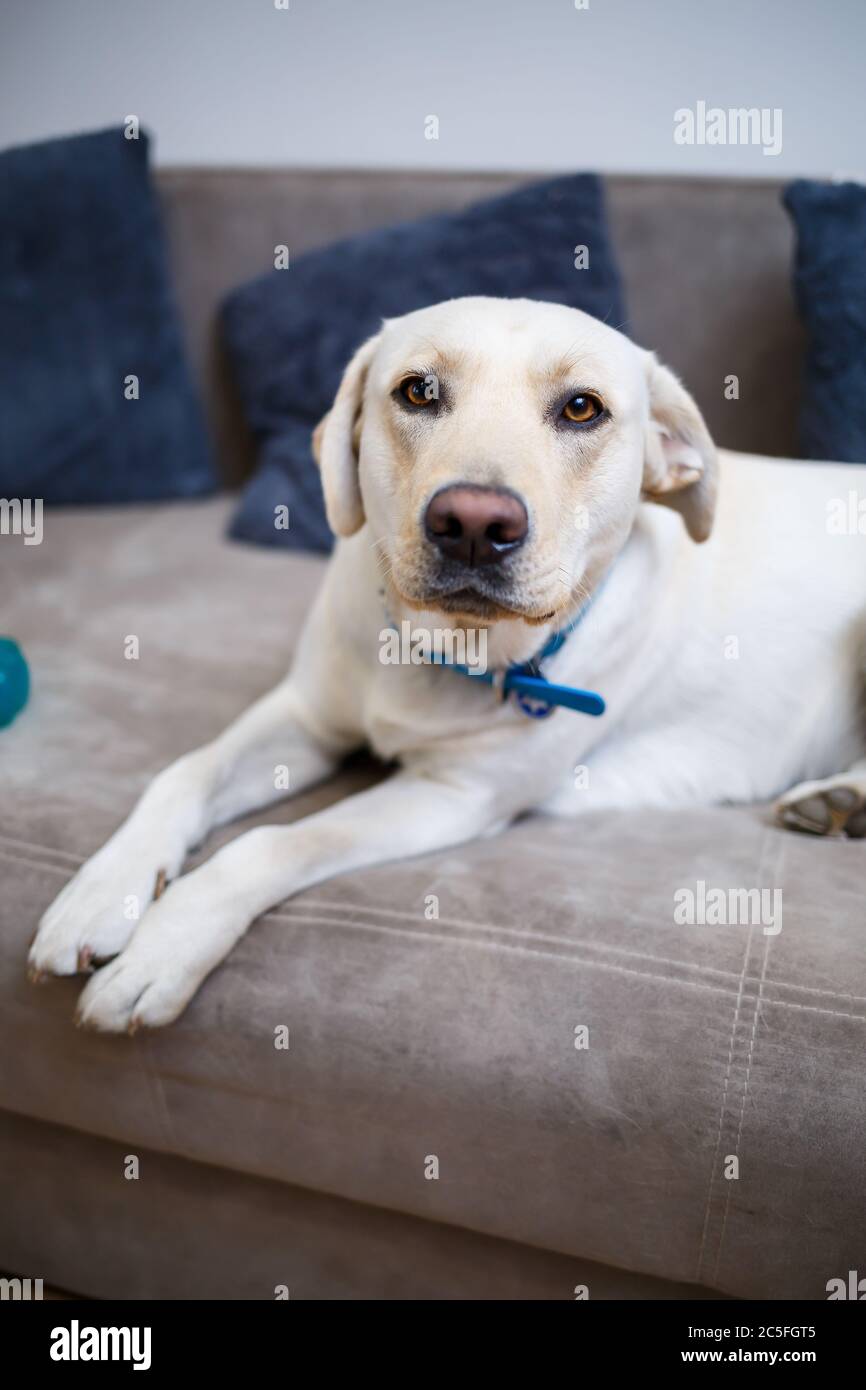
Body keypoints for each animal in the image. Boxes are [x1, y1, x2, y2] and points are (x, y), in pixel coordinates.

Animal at [27, 296, 866, 1034]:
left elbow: (272, 844)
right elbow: (184, 774)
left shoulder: (455, 796)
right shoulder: (305, 714)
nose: (473, 523)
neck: (441, 647)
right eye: (418, 391)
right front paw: (103, 890)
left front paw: (162, 949)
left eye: (582, 409)